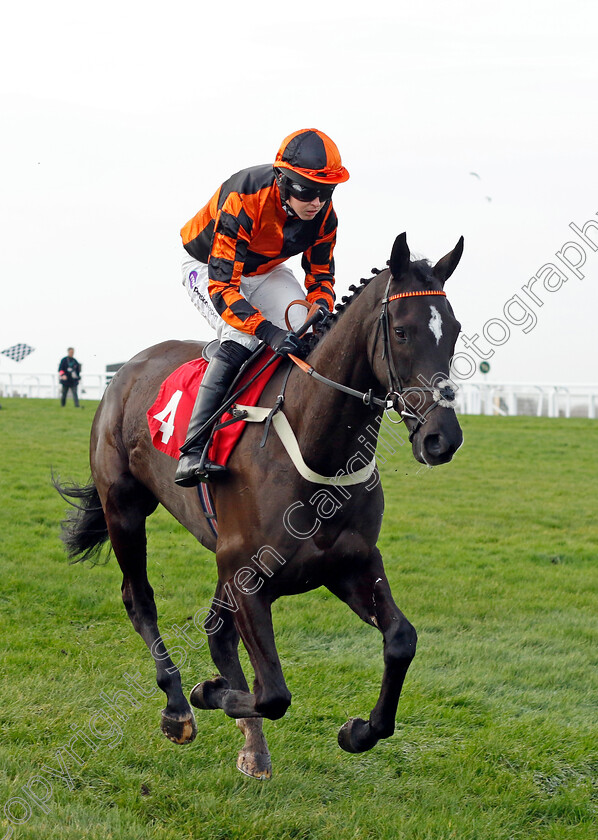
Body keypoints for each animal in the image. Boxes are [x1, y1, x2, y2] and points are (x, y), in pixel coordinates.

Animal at [55, 231, 464, 780]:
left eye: (454, 331)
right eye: (401, 331)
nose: (442, 439)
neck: (317, 450)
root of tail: (127, 370)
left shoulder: (350, 563)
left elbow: (401, 639)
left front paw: (358, 730)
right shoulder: (246, 573)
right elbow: (272, 693)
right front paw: (208, 692)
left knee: (215, 629)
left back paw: (251, 744)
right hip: (124, 508)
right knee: (139, 600)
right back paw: (178, 707)